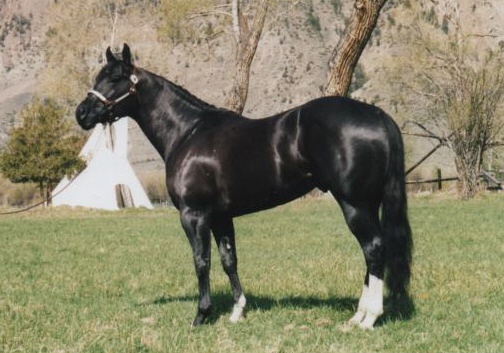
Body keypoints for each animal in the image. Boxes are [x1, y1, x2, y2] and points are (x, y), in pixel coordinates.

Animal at [77, 43, 412, 328]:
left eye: (116, 78)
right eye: (99, 76)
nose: (82, 113)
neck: (188, 132)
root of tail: (378, 115)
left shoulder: (194, 214)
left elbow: (201, 262)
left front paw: (201, 315)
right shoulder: (221, 217)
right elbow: (229, 260)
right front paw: (237, 311)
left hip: (354, 204)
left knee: (373, 248)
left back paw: (369, 318)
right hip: (367, 204)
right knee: (373, 252)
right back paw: (358, 316)